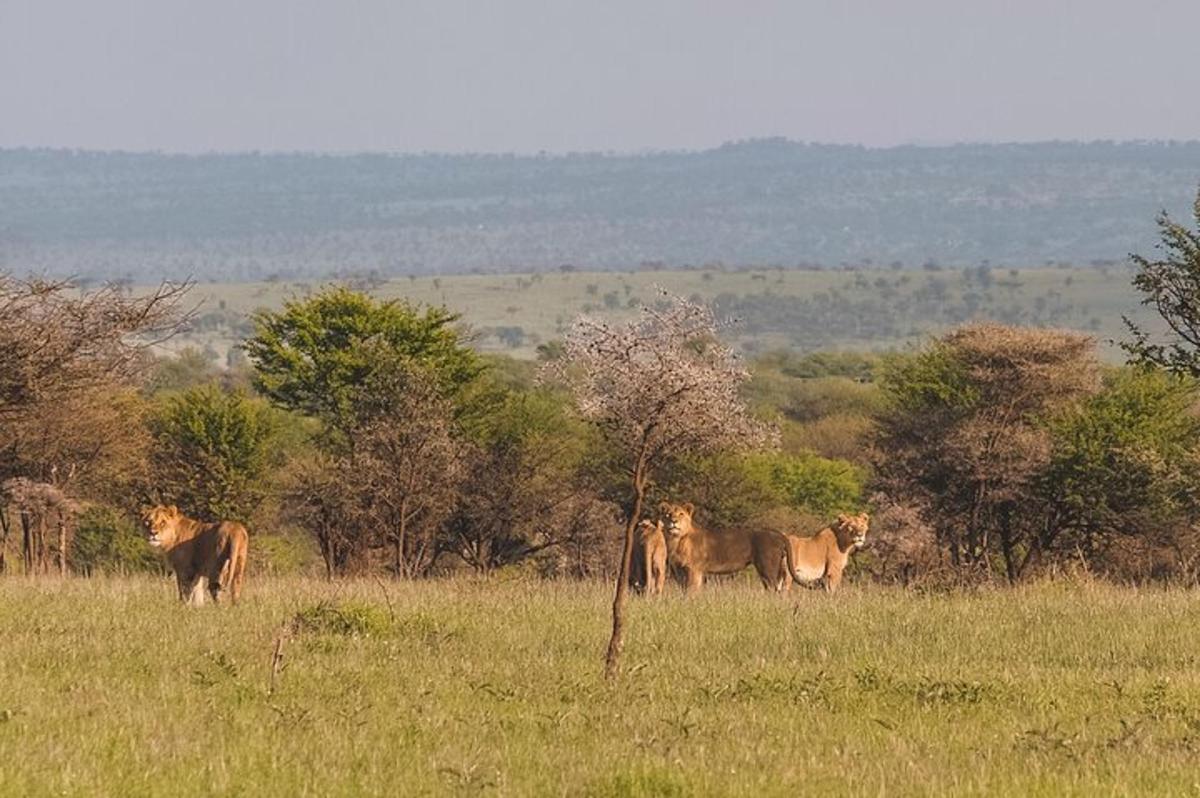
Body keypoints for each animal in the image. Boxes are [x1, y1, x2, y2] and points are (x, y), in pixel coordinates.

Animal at [657, 504, 787, 590]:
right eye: (668, 514)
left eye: (681, 514)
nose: (674, 521)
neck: (676, 540)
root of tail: (778, 533)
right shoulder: (678, 571)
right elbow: (683, 591)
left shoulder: (694, 569)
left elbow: (691, 591)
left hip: (768, 568)